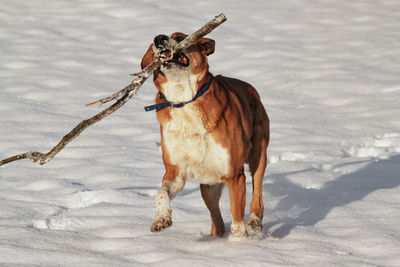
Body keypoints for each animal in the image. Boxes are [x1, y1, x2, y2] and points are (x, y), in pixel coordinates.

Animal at [141, 31, 268, 239]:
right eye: (152, 46)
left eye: (179, 37)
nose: (158, 38)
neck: (184, 100)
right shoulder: (175, 170)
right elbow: (162, 192)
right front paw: (161, 218)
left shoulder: (234, 174)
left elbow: (237, 221)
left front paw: (241, 242)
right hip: (208, 184)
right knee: (217, 219)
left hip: (258, 154)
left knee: (257, 194)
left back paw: (255, 222)